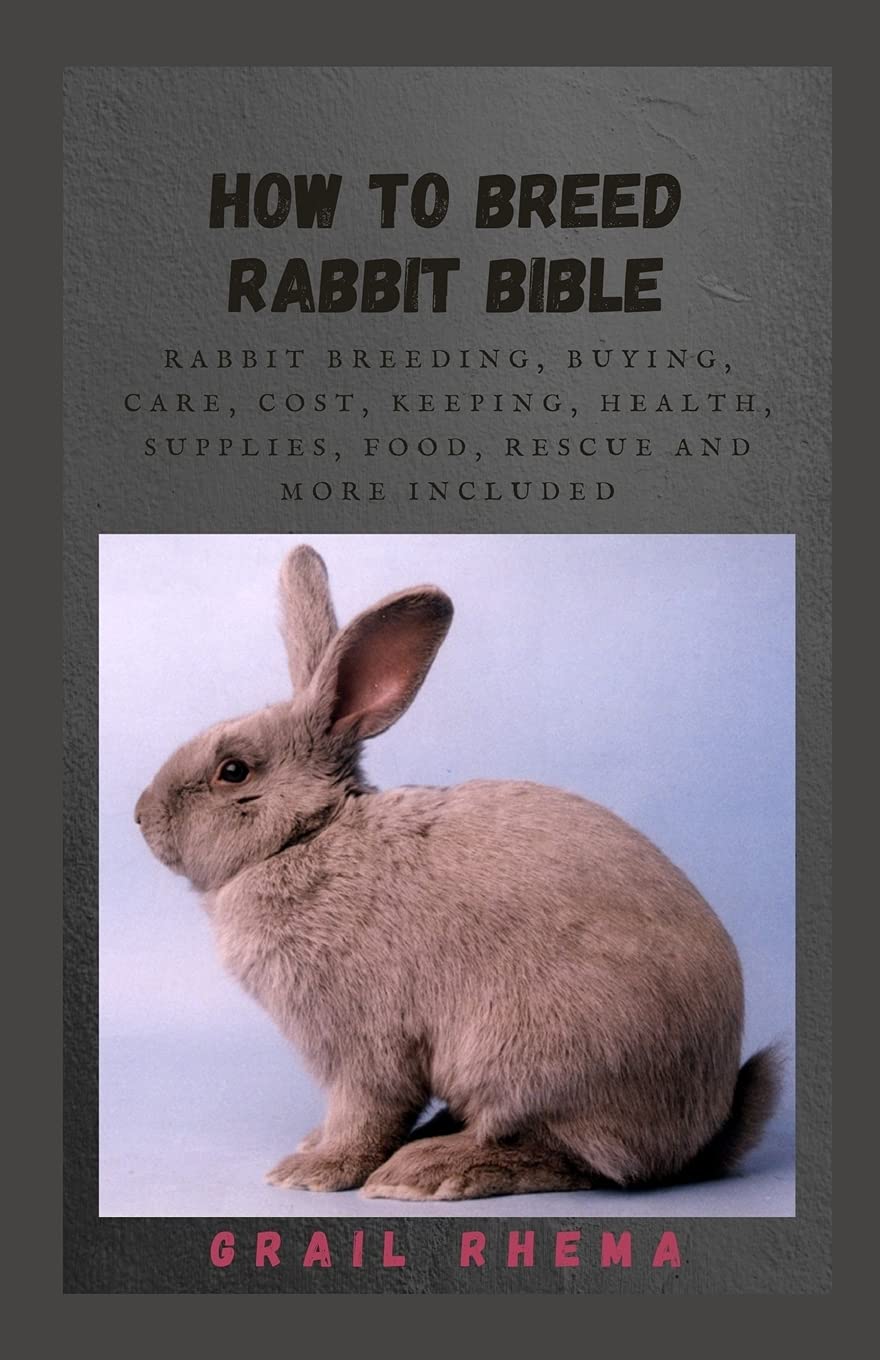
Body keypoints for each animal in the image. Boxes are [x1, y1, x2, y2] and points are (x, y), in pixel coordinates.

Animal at [134, 544, 779, 1200]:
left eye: (233, 771)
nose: (140, 816)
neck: (309, 832)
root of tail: (700, 1134)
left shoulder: (364, 1047)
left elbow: (365, 1112)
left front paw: (313, 1171)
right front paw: (312, 1148)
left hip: (532, 1061)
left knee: (577, 1156)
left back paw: (428, 1170)